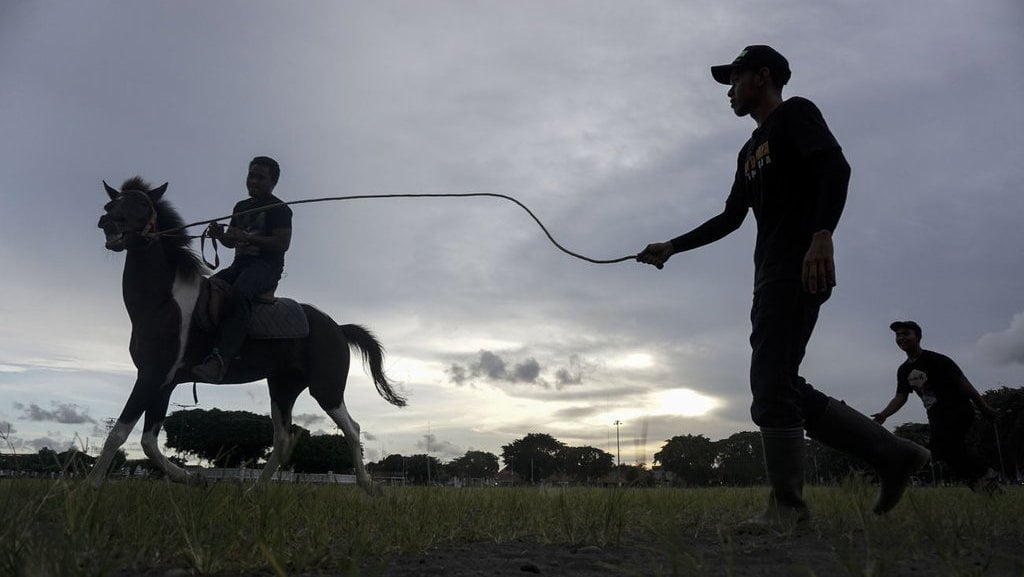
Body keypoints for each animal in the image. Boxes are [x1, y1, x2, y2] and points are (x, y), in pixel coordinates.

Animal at [91, 176, 403, 491]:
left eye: (143, 205)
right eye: (110, 203)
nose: (108, 221)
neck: (165, 301)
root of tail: (337, 328)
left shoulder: (151, 375)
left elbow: (118, 435)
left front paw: (89, 488)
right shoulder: (163, 382)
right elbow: (148, 442)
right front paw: (193, 478)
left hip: (326, 389)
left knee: (352, 428)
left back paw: (368, 485)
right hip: (283, 388)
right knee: (283, 438)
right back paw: (255, 489)